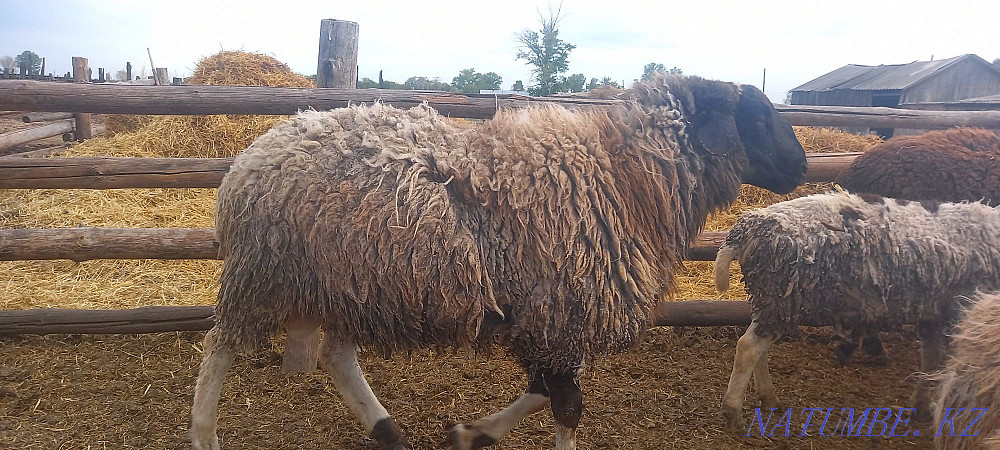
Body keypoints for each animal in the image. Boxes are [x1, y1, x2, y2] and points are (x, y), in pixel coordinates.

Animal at [188, 73, 808, 450]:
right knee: (219, 347)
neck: (626, 179)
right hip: (267, 274)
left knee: (336, 356)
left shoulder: (545, 319)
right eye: (756, 118)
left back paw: (387, 429)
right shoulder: (559, 314)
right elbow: (566, 405)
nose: (802, 166)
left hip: (353, 281)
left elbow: (542, 391)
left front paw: (470, 433)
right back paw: (203, 433)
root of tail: (248, 158)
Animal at [714, 192, 1000, 432]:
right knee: (748, 348)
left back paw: (769, 399)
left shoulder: (934, 314)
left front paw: (921, 406)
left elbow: (931, 361)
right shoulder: (962, 310)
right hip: (782, 294)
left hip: (774, 300)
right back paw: (733, 413)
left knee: (758, 348)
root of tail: (746, 229)